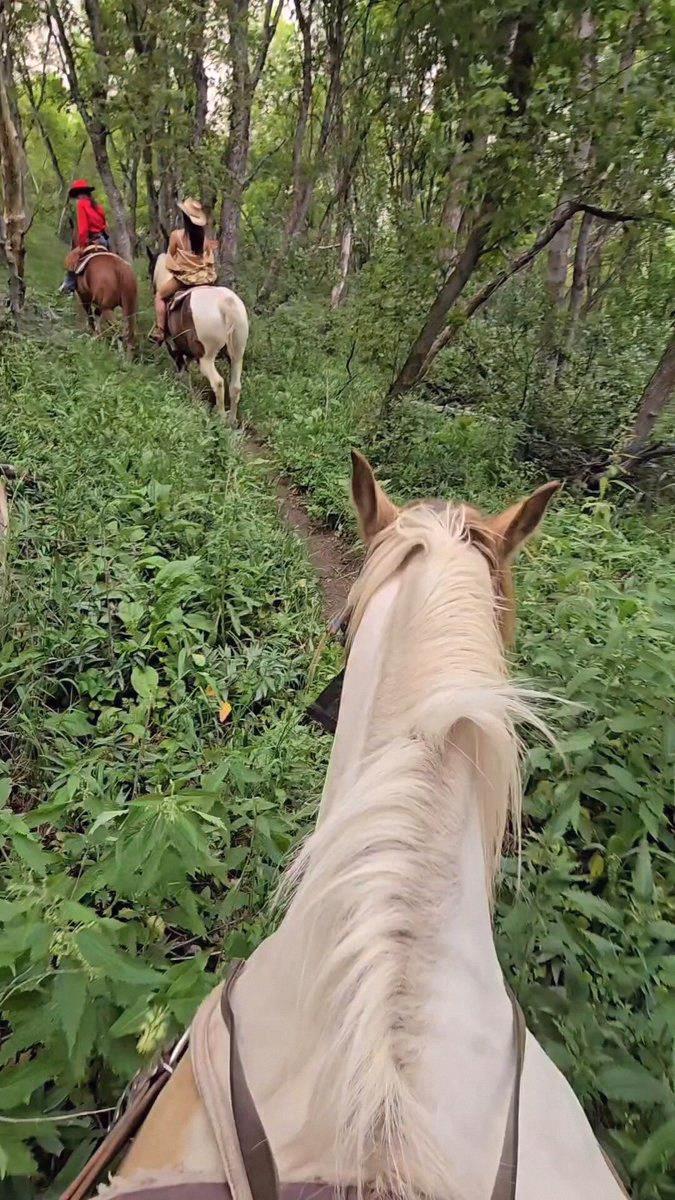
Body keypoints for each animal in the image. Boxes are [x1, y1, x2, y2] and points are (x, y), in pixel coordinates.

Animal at [147, 248, 249, 425]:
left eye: (150, 267)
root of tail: (226, 305)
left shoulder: (174, 347)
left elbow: (182, 372)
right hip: (237, 356)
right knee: (235, 386)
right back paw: (231, 420)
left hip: (206, 358)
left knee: (218, 382)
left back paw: (220, 419)